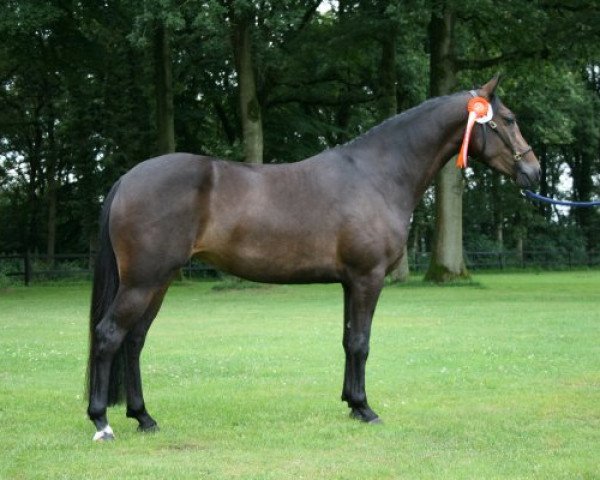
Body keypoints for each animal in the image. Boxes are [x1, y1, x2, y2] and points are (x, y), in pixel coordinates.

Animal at [84, 77, 540, 440]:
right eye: (508, 120)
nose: (534, 172)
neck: (377, 174)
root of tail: (126, 179)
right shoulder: (368, 278)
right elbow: (361, 342)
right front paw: (366, 409)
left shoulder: (350, 281)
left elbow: (348, 340)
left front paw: (351, 404)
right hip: (143, 282)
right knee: (109, 336)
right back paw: (102, 422)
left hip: (158, 282)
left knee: (134, 341)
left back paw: (144, 417)